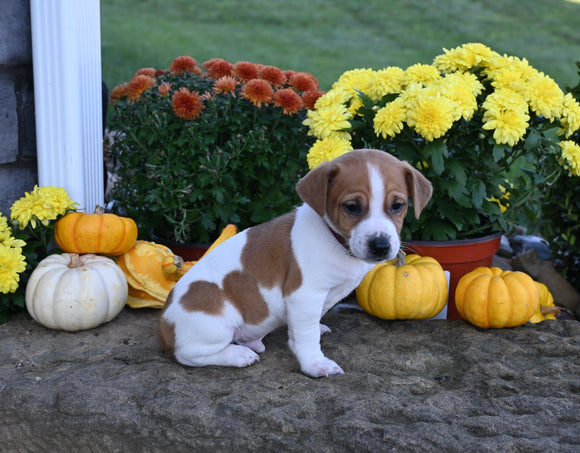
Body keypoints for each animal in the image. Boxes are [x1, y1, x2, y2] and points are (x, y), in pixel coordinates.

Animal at [157, 149, 430, 378]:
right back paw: (238, 354)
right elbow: (306, 337)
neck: (336, 241)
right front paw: (315, 363)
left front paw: (313, 333)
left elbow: (306, 328)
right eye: (352, 207)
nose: (381, 246)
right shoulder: (304, 295)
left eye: (397, 205)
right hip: (215, 324)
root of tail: (164, 325)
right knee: (189, 355)